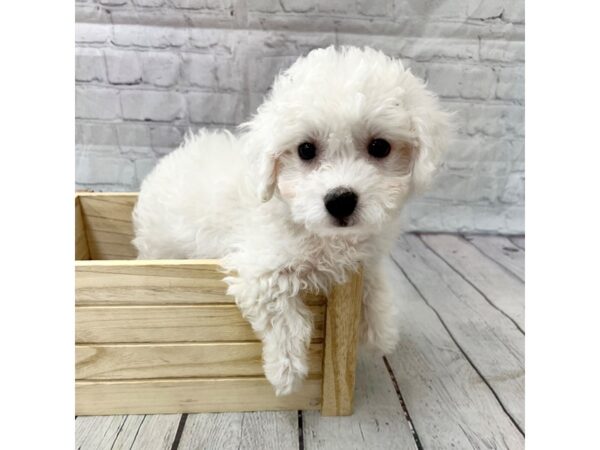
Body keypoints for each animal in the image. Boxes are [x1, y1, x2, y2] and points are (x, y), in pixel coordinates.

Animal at [132, 47, 450, 396]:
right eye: (306, 150)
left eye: (380, 147)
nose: (340, 199)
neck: (325, 237)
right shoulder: (259, 269)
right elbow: (284, 312)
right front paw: (286, 371)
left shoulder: (365, 255)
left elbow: (374, 279)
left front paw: (381, 332)